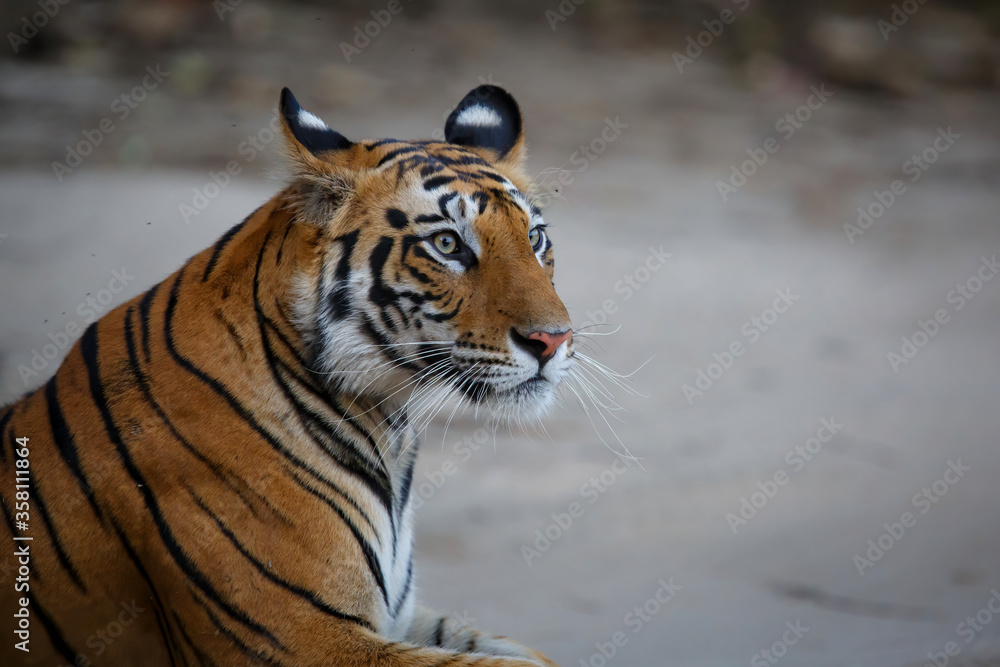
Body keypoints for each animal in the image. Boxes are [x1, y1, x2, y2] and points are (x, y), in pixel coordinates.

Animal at [0, 84, 574, 666]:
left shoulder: (398, 617)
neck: (389, 422)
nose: (554, 340)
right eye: (448, 245)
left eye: (535, 237)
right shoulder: (301, 636)